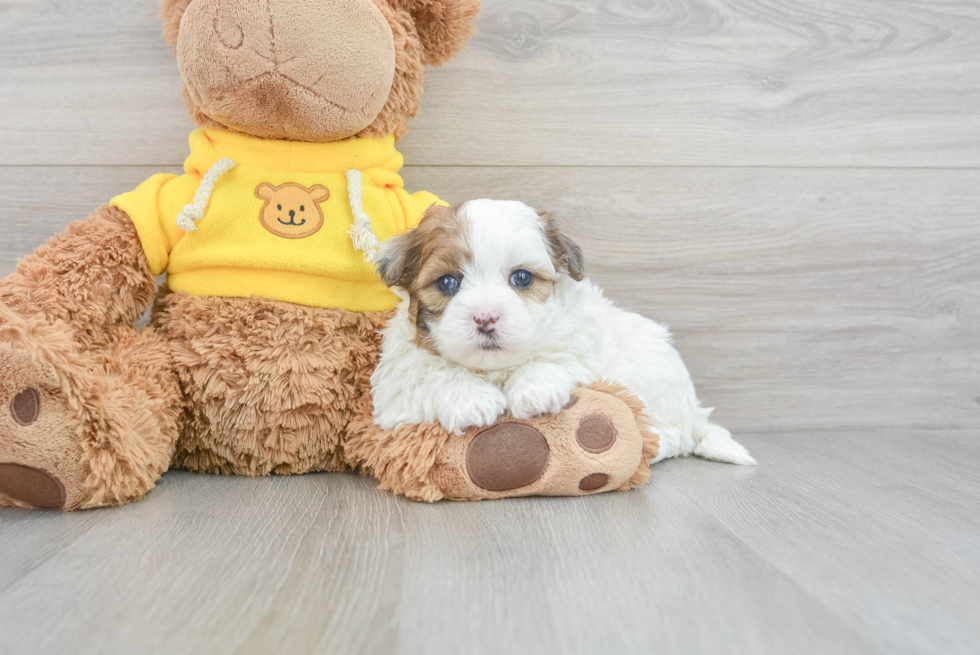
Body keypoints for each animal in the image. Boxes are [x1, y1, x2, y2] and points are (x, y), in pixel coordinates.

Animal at [372, 200, 756, 466]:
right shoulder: (396, 381)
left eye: (521, 278)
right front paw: (471, 399)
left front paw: (533, 389)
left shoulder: (583, 340)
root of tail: (694, 412)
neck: (495, 369)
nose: (485, 318)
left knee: (675, 437)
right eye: (447, 282)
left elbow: (558, 356)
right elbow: (427, 372)